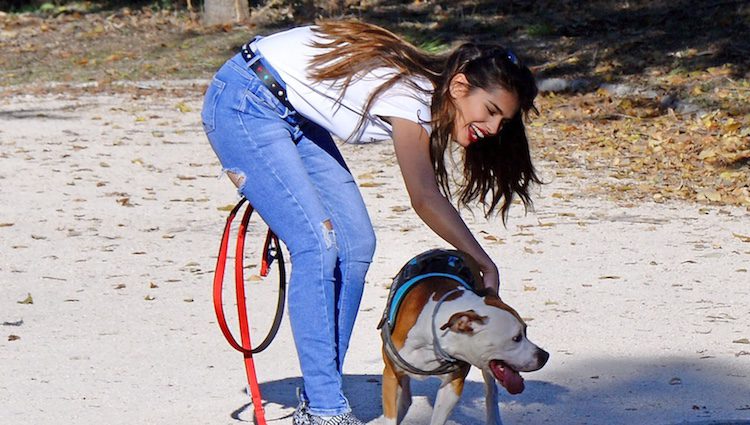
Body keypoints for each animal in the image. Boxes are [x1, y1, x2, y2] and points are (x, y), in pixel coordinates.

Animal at [382, 250, 552, 424]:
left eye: (526, 331)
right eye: (517, 338)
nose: (545, 356)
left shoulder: (452, 386)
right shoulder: (391, 376)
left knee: (492, 391)